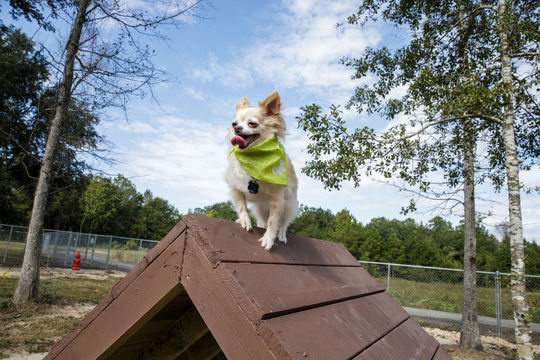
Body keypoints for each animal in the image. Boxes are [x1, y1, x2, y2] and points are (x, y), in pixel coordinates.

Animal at [225, 90, 300, 250]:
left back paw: (281, 234)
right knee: (263, 221)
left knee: (283, 222)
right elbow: (242, 205)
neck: (255, 158)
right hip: (260, 209)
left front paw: (268, 239)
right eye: (234, 123)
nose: (236, 128)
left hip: (290, 205)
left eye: (252, 123)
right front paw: (244, 220)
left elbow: (273, 221)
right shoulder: (236, 188)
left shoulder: (278, 202)